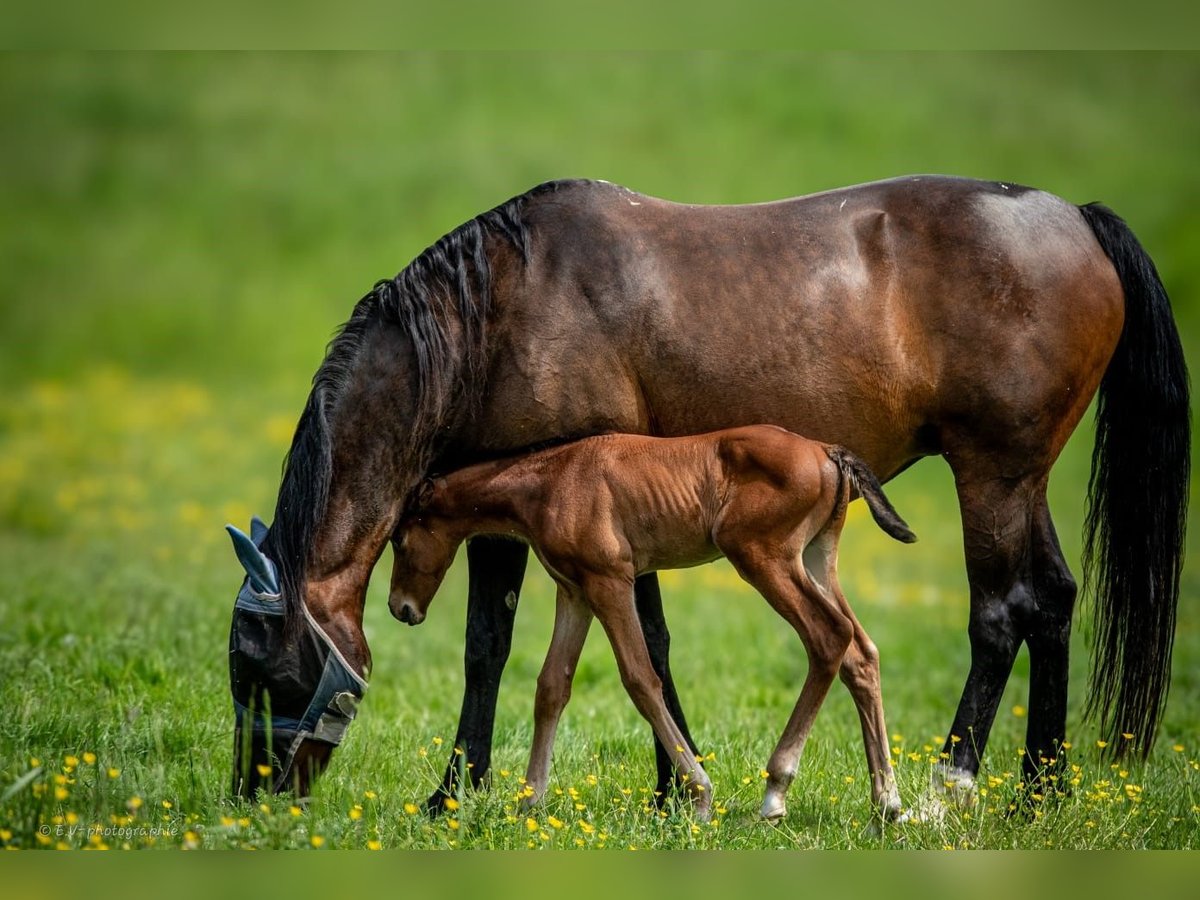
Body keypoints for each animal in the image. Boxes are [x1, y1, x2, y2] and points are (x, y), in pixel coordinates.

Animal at [388, 427, 912, 830]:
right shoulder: (574, 592)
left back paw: (775, 793)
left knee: (828, 637)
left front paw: (699, 795)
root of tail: (826, 451)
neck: (552, 480)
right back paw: (886, 803)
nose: (400, 607)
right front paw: (529, 802)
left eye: (399, 538)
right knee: (860, 650)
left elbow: (641, 678)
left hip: (764, 559)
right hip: (816, 558)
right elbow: (551, 687)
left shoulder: (611, 582)